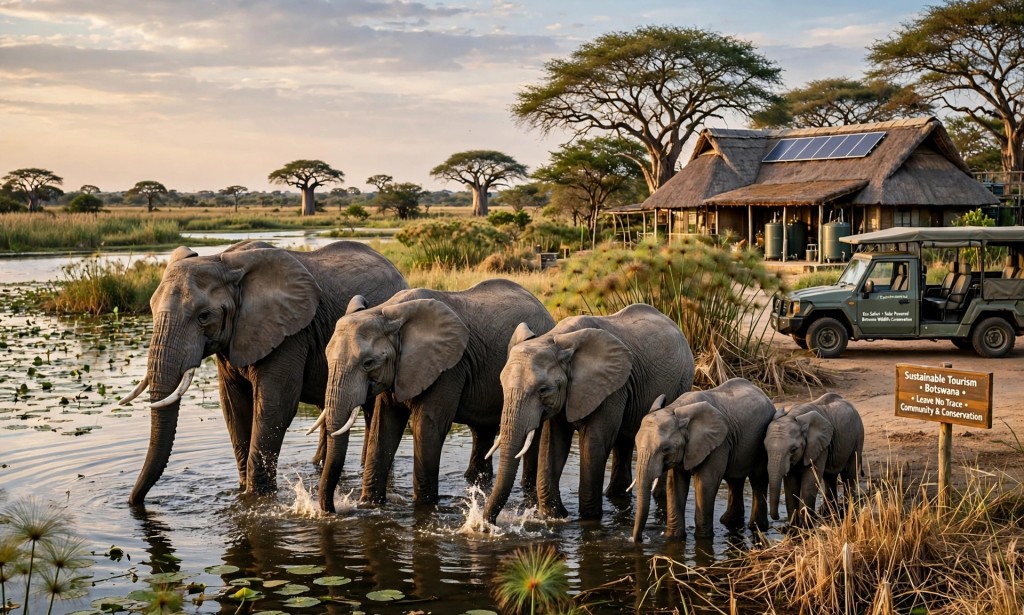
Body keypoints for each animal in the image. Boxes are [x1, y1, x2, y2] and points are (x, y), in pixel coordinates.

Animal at [120, 240, 408, 505]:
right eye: (151, 309)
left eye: (204, 316)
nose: (134, 502)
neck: (225, 261)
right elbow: (233, 407)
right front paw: (244, 489)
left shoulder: (290, 334)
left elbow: (275, 406)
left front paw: (257, 498)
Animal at [318, 278, 555, 512]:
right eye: (326, 356)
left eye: (368, 363)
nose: (332, 508)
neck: (387, 313)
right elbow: (384, 426)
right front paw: (369, 505)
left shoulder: (448, 368)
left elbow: (427, 427)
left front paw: (424, 507)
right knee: (482, 430)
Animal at [482, 303, 694, 524]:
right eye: (502, 385)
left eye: (543, 390)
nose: (488, 525)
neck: (555, 339)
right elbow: (552, 444)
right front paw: (554, 515)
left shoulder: (612, 389)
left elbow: (594, 444)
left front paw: (588, 518)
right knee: (624, 440)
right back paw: (615, 495)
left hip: (683, 380)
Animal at [631, 378, 776, 542]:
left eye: (665, 449)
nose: (641, 539)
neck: (676, 409)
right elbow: (675, 484)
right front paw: (673, 537)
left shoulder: (718, 444)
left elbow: (705, 484)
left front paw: (703, 539)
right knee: (735, 481)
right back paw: (729, 521)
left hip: (762, 442)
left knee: (758, 479)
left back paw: (757, 527)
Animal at [764, 392, 864, 528]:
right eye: (765, 448)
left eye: (793, 449)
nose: (777, 517)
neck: (793, 415)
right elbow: (791, 484)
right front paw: (793, 527)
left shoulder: (819, 446)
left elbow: (810, 479)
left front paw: (807, 526)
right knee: (830, 477)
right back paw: (830, 513)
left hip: (858, 437)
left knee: (849, 475)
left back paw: (848, 511)